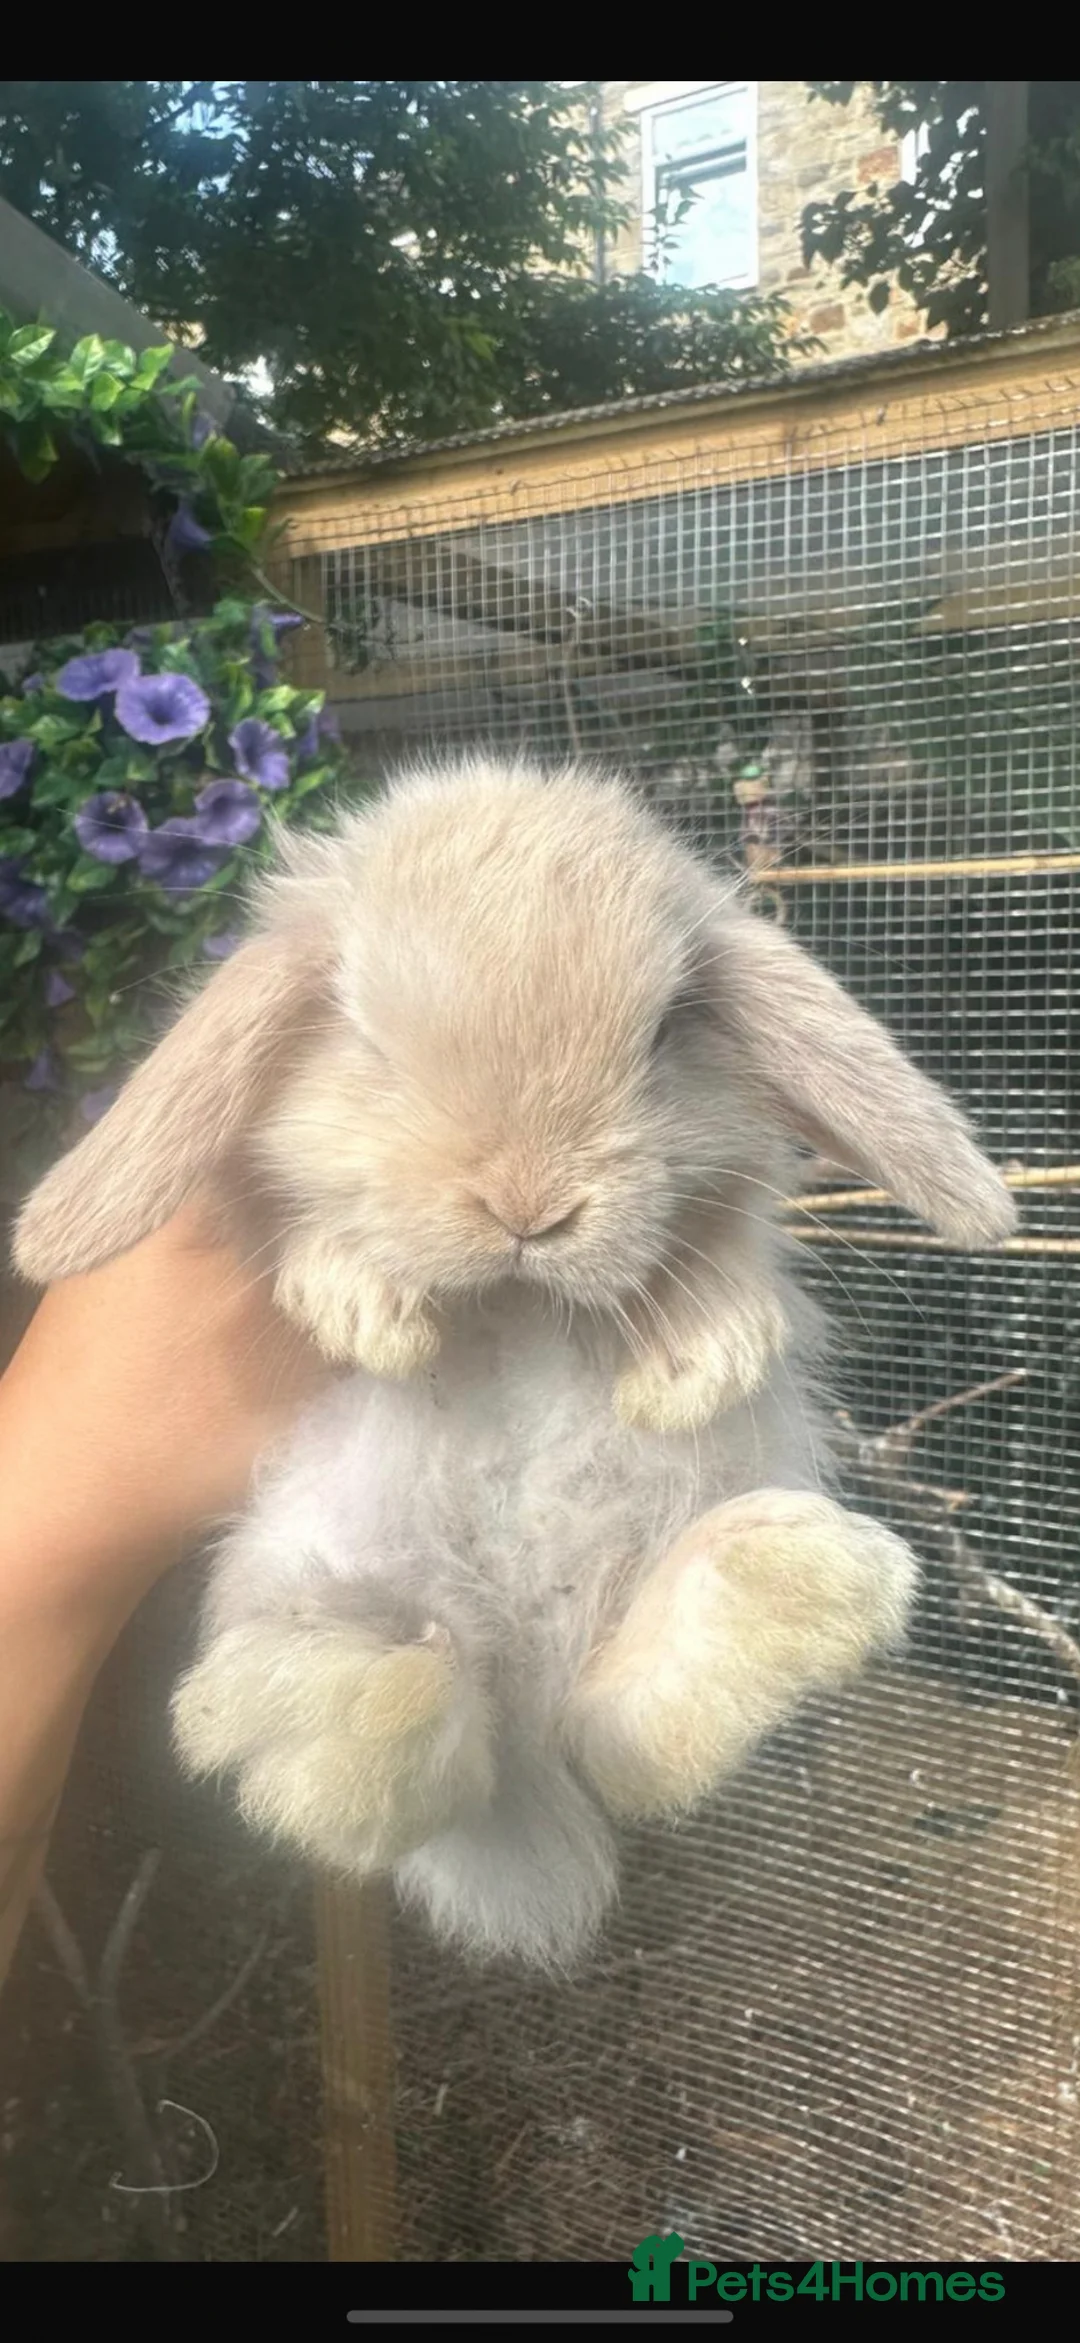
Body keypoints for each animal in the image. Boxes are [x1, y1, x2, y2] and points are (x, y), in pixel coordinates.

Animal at [12, 756, 1018, 1970]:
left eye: (667, 1031)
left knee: (626, 1734)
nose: (528, 1208)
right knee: (378, 1758)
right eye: (364, 1036)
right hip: (300, 1578)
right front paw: (365, 1314)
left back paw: (777, 1590)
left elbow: (718, 1239)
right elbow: (300, 1224)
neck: (517, 1300)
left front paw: (703, 1358)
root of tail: (524, 1687)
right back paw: (379, 1699)